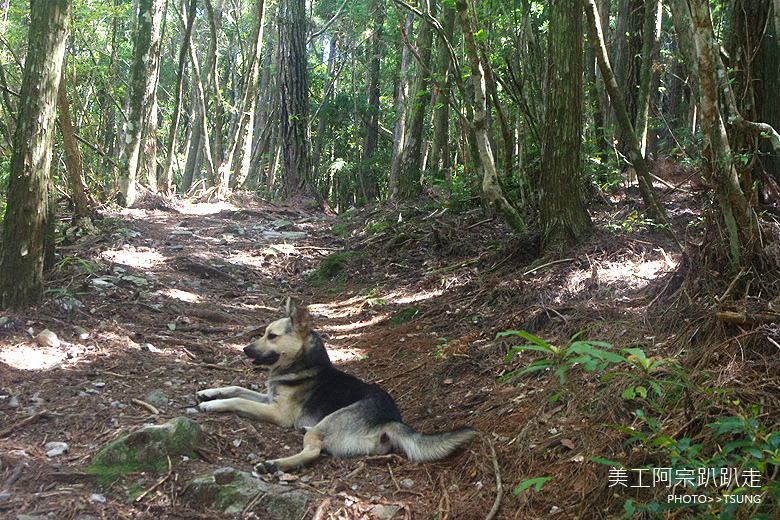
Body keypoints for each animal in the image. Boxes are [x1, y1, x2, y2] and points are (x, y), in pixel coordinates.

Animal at [197, 302, 476, 474]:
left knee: (313, 451)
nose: (245, 349)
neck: (303, 364)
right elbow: (235, 388)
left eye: (272, 336)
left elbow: (239, 401)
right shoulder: (268, 399)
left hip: (324, 425)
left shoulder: (279, 413)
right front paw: (209, 393)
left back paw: (274, 465)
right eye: (264, 333)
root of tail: (389, 419)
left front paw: (211, 405)